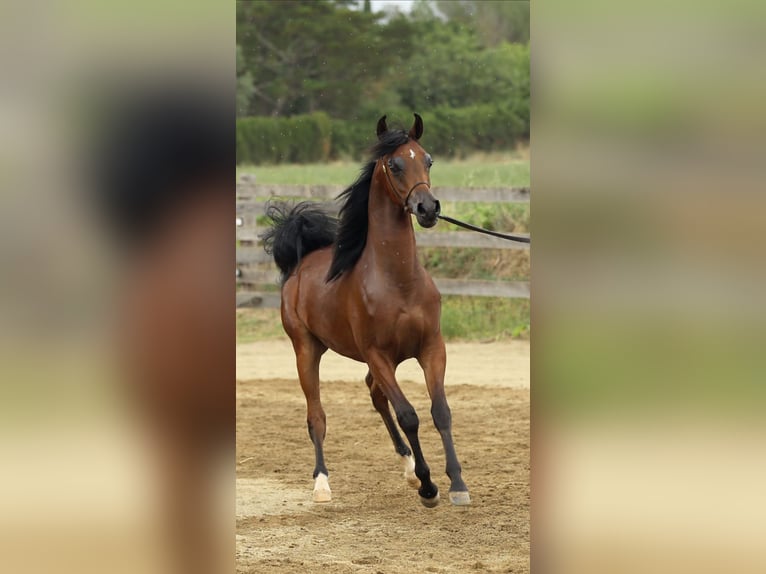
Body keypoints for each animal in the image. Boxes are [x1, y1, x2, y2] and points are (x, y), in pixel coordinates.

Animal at [264, 113, 472, 508]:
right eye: (394, 164)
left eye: (429, 159)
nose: (428, 209)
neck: (398, 282)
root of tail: (300, 262)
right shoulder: (378, 355)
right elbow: (409, 415)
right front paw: (428, 488)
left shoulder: (431, 348)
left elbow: (441, 411)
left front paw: (456, 484)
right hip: (307, 350)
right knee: (317, 416)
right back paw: (322, 484)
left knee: (375, 396)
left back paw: (408, 467)